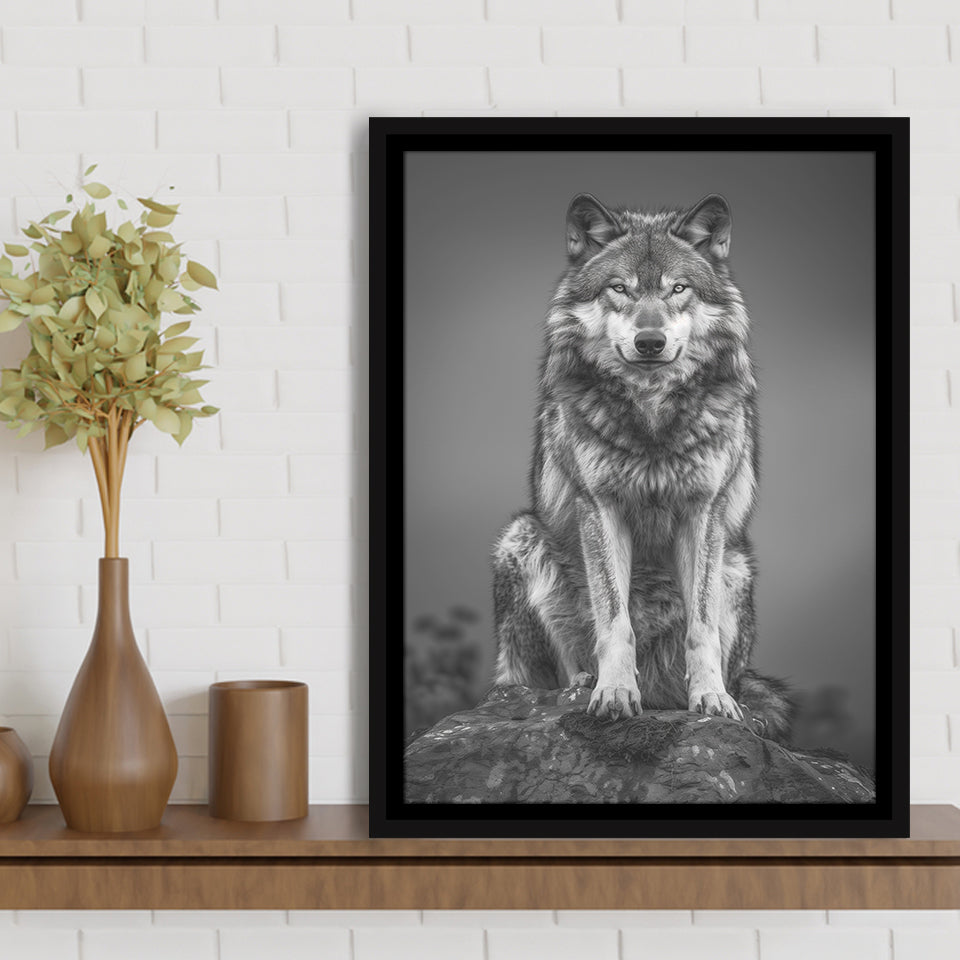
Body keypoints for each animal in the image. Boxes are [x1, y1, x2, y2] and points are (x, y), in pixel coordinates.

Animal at [491, 192, 793, 742]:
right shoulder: (600, 507)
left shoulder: (704, 512)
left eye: (678, 288)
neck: (651, 414)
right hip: (520, 537)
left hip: (736, 568)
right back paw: (580, 685)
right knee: (529, 678)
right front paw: (612, 693)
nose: (649, 341)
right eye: (619, 288)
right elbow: (615, 620)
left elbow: (701, 627)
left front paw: (712, 699)